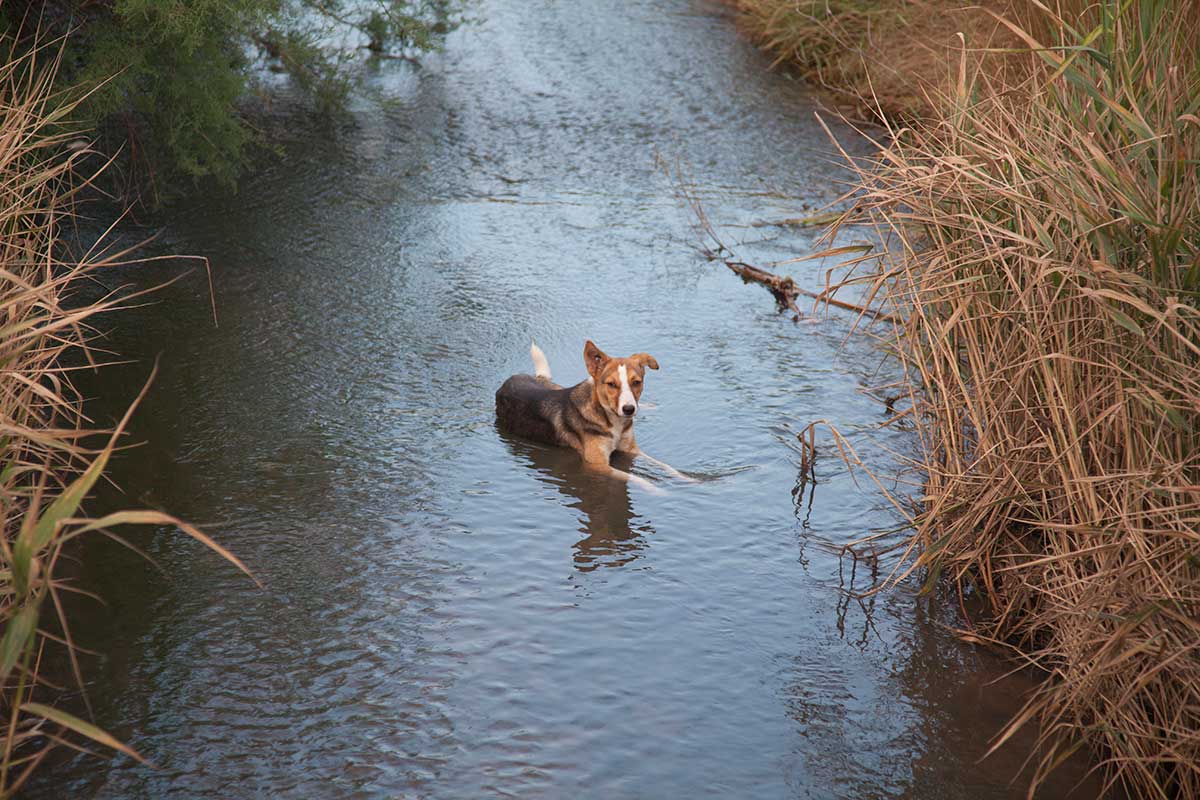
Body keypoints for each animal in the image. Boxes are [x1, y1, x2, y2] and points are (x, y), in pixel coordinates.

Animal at [494, 340, 686, 491]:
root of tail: (510, 379)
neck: (611, 420)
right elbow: (635, 478)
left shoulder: (631, 449)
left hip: (556, 386)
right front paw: (659, 491)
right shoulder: (597, 464)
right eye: (611, 384)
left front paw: (688, 478)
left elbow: (667, 466)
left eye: (636, 382)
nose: (629, 409)